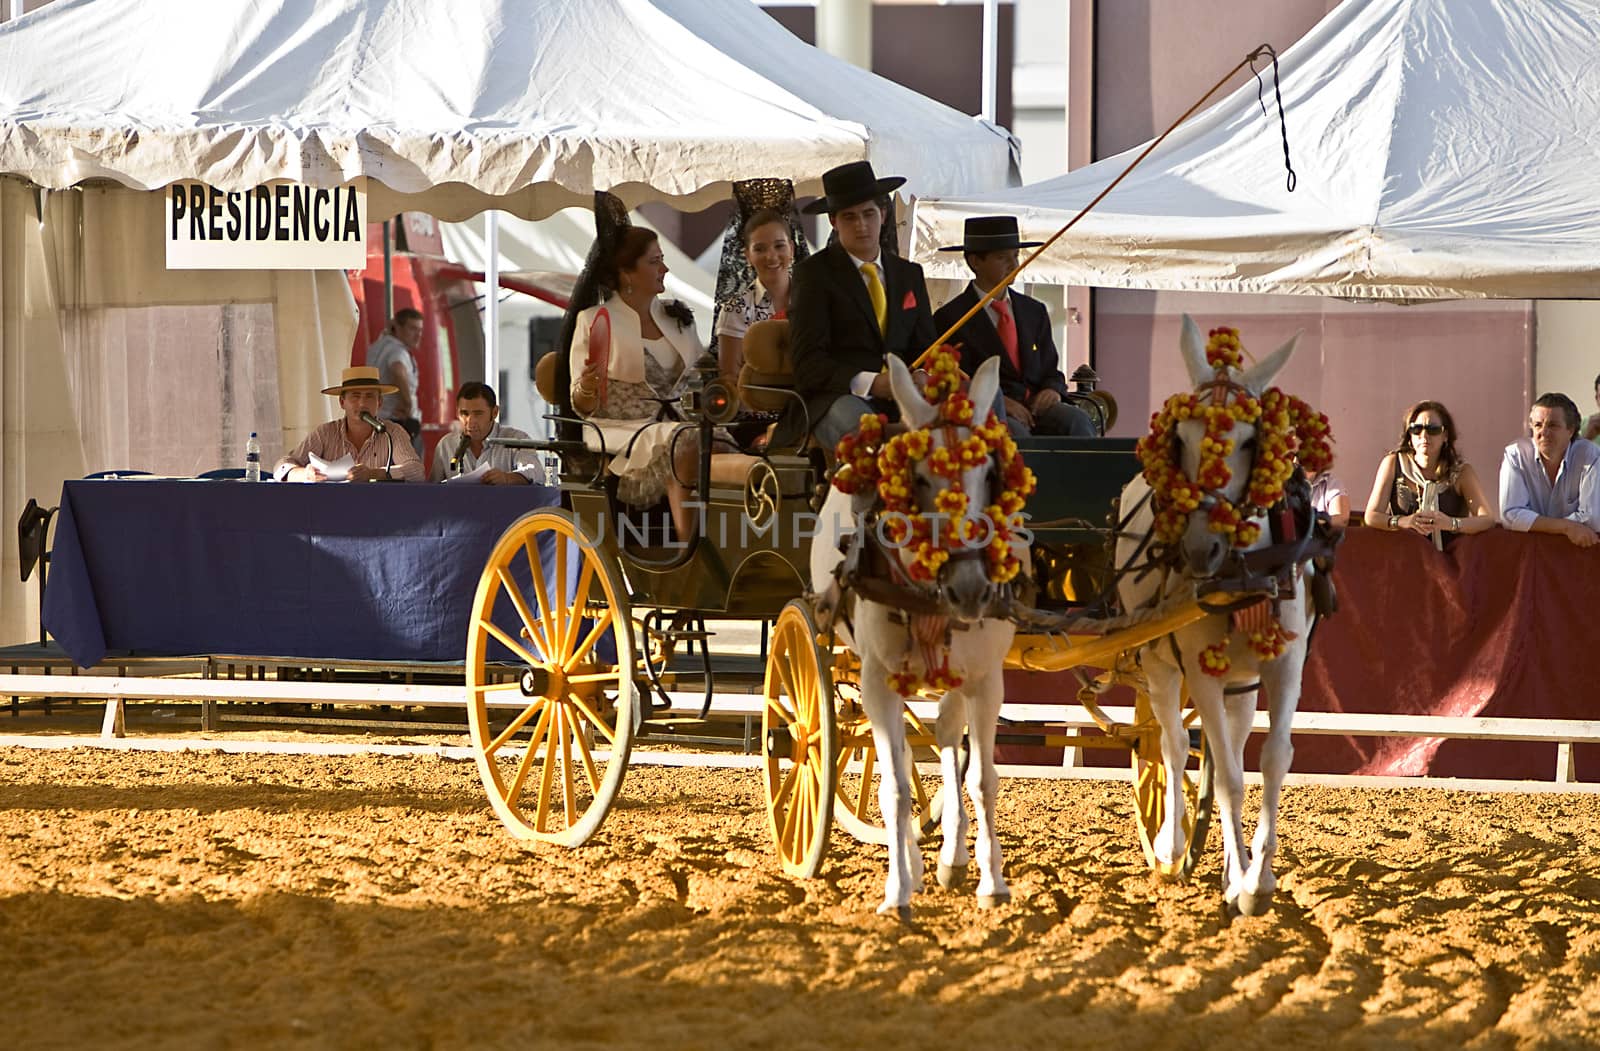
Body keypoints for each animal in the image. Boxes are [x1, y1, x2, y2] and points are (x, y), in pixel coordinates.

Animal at [812, 351, 1024, 921]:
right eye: (920, 478)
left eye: (989, 472)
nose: (971, 588)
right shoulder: (877, 681)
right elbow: (894, 789)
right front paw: (898, 889)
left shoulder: (986, 680)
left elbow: (983, 780)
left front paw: (992, 883)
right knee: (900, 763)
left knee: (948, 737)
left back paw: (952, 858)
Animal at [1126, 315, 1337, 915]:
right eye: (1180, 438)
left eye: (1248, 440)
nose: (1202, 549)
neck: (1246, 570)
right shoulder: (1199, 670)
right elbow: (1224, 778)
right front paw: (1244, 883)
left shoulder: (1285, 665)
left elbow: (1270, 760)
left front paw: (1255, 876)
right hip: (1160, 666)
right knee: (1172, 748)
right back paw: (1172, 847)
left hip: (1242, 680)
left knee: (1235, 745)